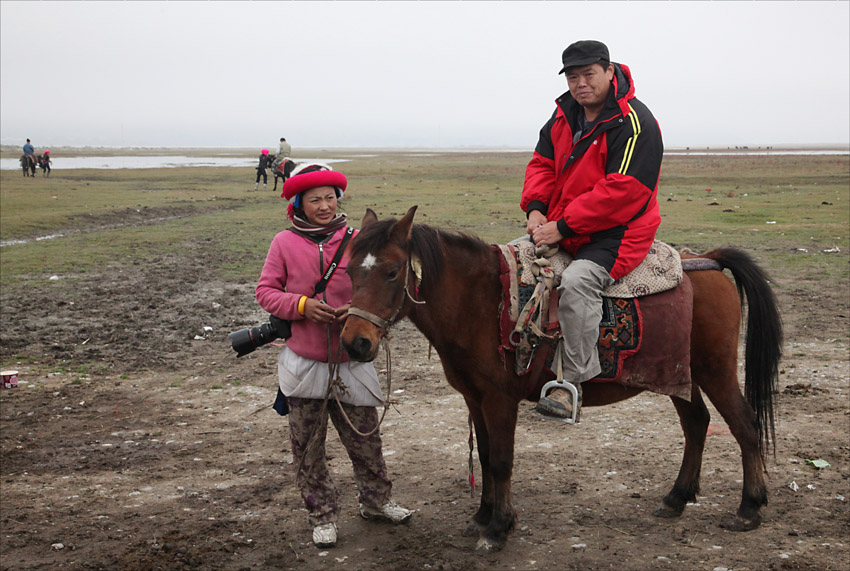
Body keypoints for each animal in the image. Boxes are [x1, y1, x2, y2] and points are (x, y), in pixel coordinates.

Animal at [342, 208, 780, 552]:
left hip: (715, 370)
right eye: (347, 270)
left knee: (745, 425)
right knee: (697, 424)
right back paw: (676, 498)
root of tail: (709, 262)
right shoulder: (474, 398)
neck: (480, 302)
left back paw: (749, 507)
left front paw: (499, 528)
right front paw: (483, 517)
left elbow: (500, 460)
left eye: (391, 271)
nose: (354, 342)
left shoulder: (499, 399)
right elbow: (483, 455)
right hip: (677, 375)